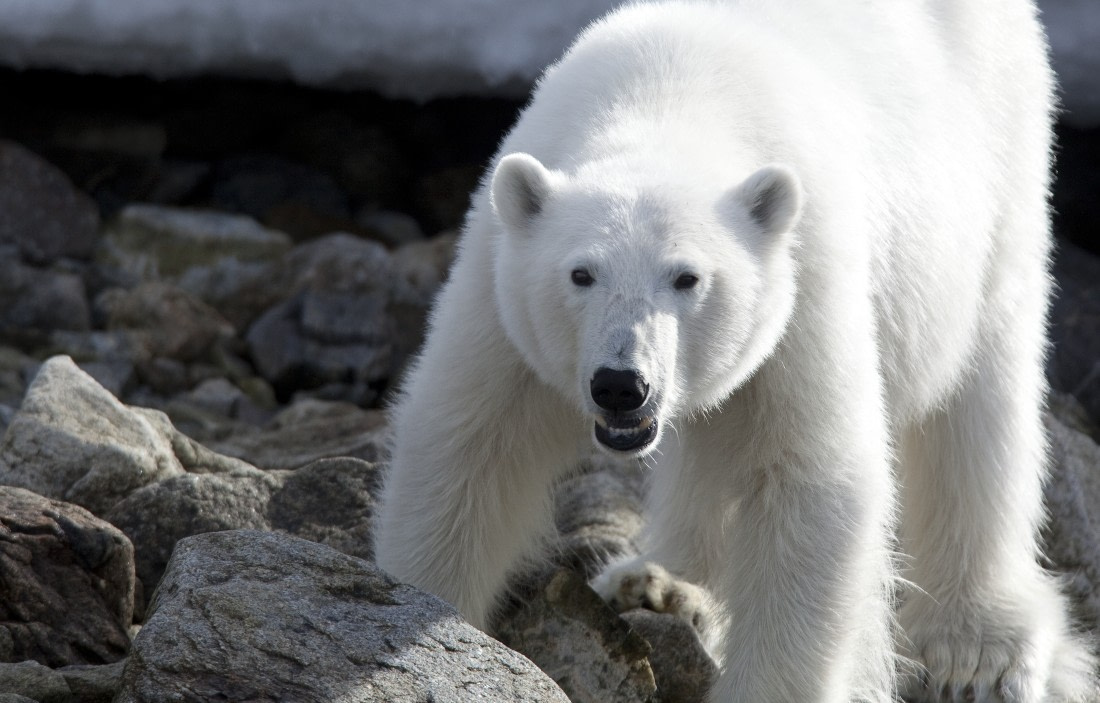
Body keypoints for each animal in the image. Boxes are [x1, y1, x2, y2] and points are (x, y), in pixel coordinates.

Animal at [374, 1, 1097, 700]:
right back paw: (658, 581)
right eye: (580, 273)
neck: (669, 97)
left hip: (996, 158)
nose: (621, 384)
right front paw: (426, 603)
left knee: (981, 390)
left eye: (687, 277)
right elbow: (468, 444)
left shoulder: (802, 278)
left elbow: (807, 478)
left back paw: (977, 646)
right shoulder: (500, 285)